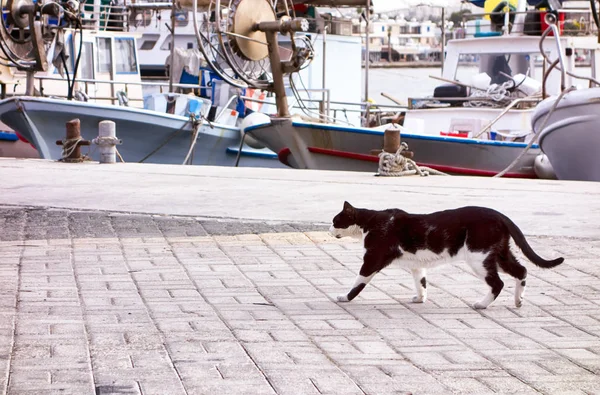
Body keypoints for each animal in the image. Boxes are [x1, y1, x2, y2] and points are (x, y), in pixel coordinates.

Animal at [330, 203, 564, 310]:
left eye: (335, 221)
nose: (329, 231)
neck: (370, 223)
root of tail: (499, 215)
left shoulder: (372, 259)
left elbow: (358, 282)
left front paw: (345, 297)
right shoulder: (417, 265)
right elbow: (421, 284)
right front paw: (420, 299)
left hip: (479, 258)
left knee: (498, 283)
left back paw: (482, 304)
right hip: (500, 254)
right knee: (522, 270)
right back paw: (518, 300)